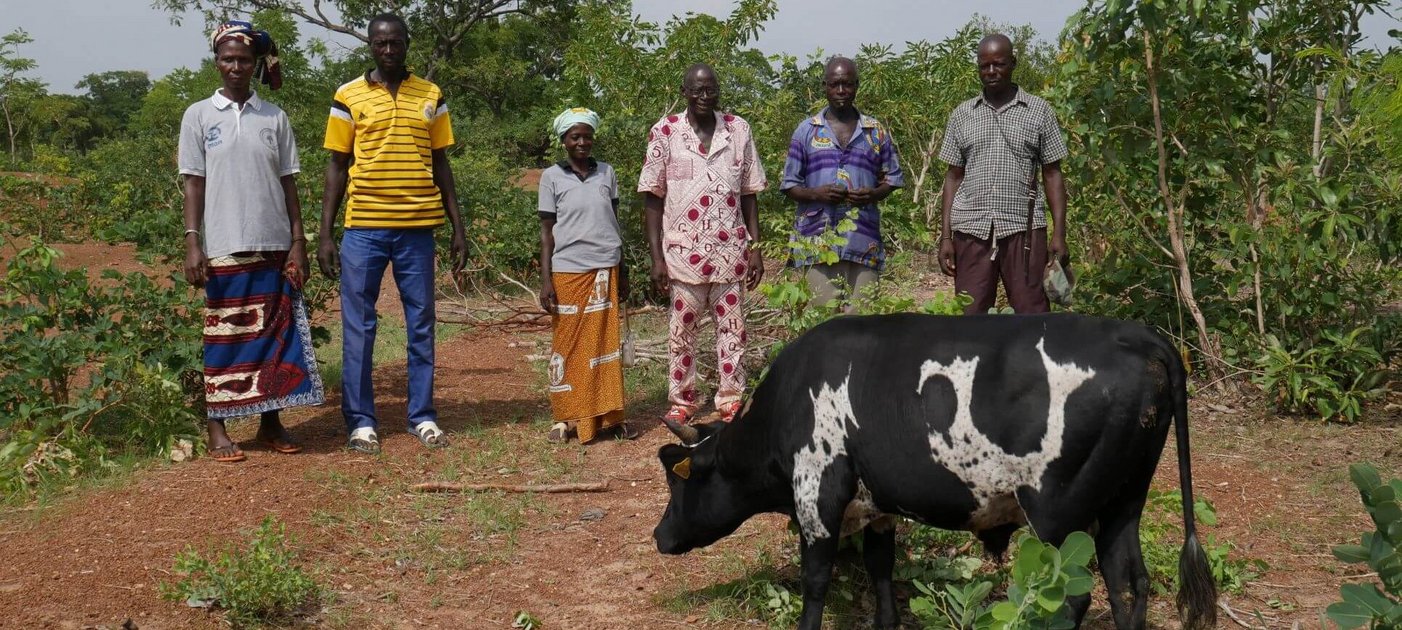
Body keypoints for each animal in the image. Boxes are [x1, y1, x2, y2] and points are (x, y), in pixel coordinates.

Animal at [656, 312, 1216, 628]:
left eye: (677, 482)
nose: (660, 536)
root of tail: (1138, 337)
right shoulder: (877, 505)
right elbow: (881, 573)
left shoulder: (817, 495)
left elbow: (815, 583)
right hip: (1123, 502)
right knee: (1130, 585)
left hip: (1060, 515)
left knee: (1074, 598)